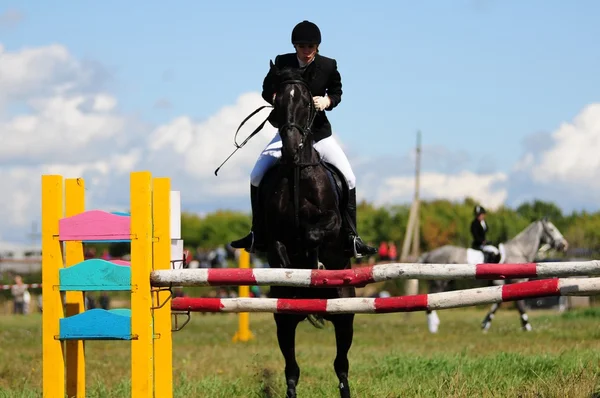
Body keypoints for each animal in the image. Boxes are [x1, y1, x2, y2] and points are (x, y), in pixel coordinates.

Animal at [258, 62, 356, 398]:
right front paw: (293, 276)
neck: (298, 171)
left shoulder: (333, 223)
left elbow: (314, 235)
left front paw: (315, 267)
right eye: (278, 103)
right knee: (292, 367)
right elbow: (279, 250)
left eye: (305, 104)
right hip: (283, 322)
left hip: (345, 314)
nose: (289, 149)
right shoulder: (273, 234)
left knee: (341, 364)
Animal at [418, 218, 568, 332]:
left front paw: (485, 324)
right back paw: (433, 327)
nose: (564, 245)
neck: (519, 251)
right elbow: (518, 305)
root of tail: (430, 253)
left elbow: (497, 303)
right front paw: (527, 327)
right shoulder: (515, 282)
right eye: (552, 229)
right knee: (430, 300)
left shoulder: (502, 286)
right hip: (439, 282)